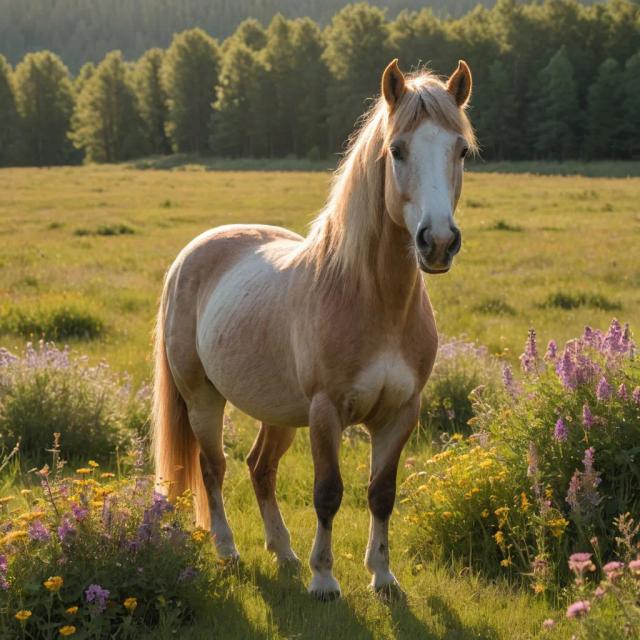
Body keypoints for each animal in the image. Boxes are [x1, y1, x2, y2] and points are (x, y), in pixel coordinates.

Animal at [153, 58, 476, 600]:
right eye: (397, 149)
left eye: (461, 150)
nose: (437, 242)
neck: (375, 301)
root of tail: (192, 252)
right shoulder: (326, 412)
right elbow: (328, 493)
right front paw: (323, 579)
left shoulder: (401, 414)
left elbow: (382, 494)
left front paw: (383, 577)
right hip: (203, 398)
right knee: (213, 468)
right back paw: (228, 550)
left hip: (280, 412)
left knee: (260, 469)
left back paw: (282, 551)